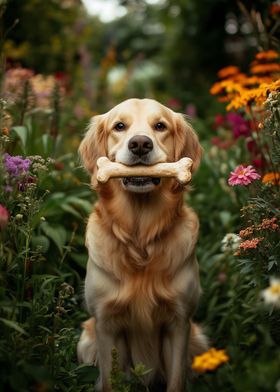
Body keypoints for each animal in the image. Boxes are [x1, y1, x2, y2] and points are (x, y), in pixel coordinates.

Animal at [77, 97, 207, 388]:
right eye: (119, 126)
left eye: (160, 126)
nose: (139, 144)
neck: (140, 239)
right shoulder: (105, 324)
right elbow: (109, 381)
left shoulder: (179, 323)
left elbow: (176, 381)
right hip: (85, 340)